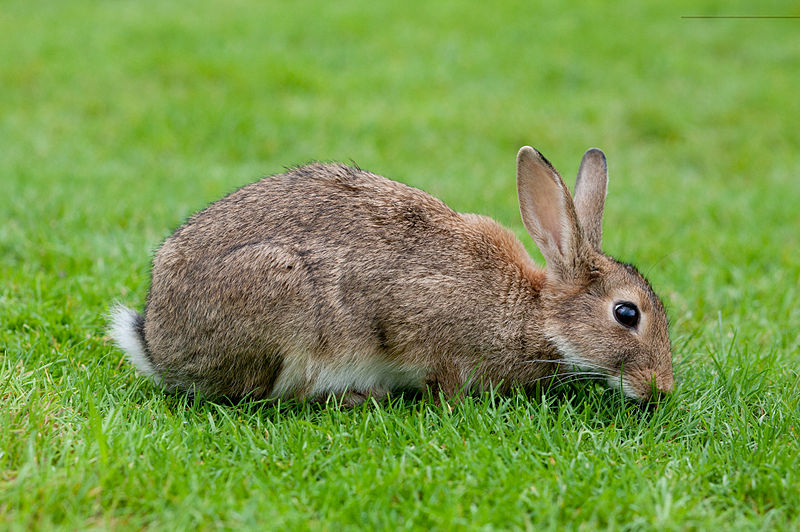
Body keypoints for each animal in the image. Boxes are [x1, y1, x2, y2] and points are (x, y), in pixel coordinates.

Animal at [111, 145, 676, 404]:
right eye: (627, 314)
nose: (662, 389)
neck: (537, 315)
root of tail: (156, 344)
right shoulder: (425, 326)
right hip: (281, 304)